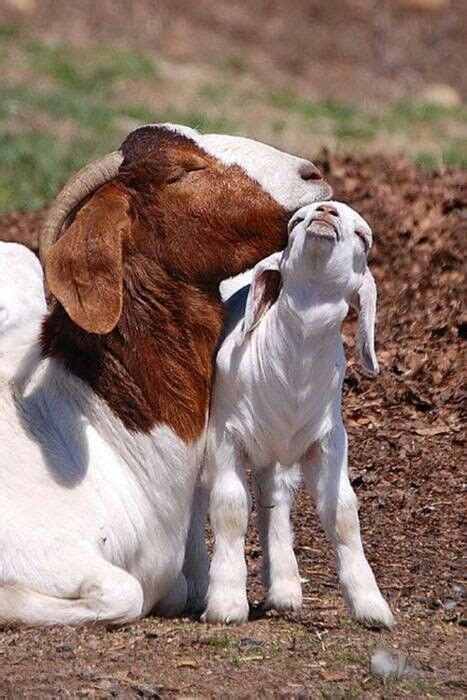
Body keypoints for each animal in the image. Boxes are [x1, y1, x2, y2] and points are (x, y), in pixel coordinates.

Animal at [204, 200, 394, 628]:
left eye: (363, 237)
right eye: (296, 222)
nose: (326, 211)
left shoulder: (328, 440)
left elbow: (343, 514)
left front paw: (372, 606)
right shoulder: (225, 435)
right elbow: (230, 508)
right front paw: (225, 603)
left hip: (279, 449)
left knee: (274, 497)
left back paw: (285, 589)